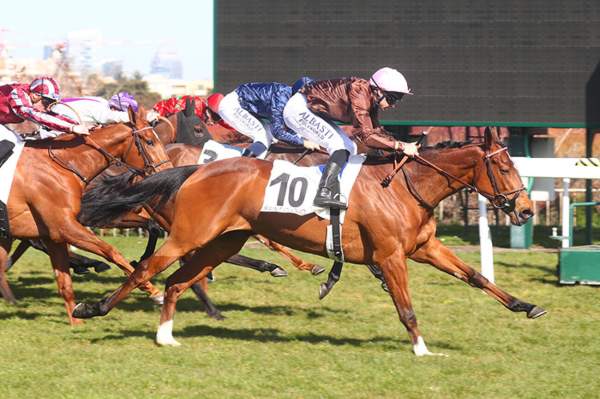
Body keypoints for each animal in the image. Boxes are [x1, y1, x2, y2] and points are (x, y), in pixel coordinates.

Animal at [0, 107, 173, 324]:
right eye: (149, 141)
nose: (168, 171)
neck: (63, 166)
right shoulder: (67, 226)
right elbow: (112, 252)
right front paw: (154, 291)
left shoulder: (55, 233)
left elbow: (64, 282)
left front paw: (77, 321)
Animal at [72, 128, 548, 356]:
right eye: (504, 168)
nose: (526, 209)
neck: (404, 186)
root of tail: (196, 169)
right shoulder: (392, 255)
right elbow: (407, 308)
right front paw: (422, 349)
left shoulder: (424, 249)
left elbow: (476, 277)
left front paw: (527, 306)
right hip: (191, 235)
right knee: (146, 269)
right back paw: (92, 309)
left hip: (222, 242)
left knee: (177, 281)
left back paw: (166, 336)